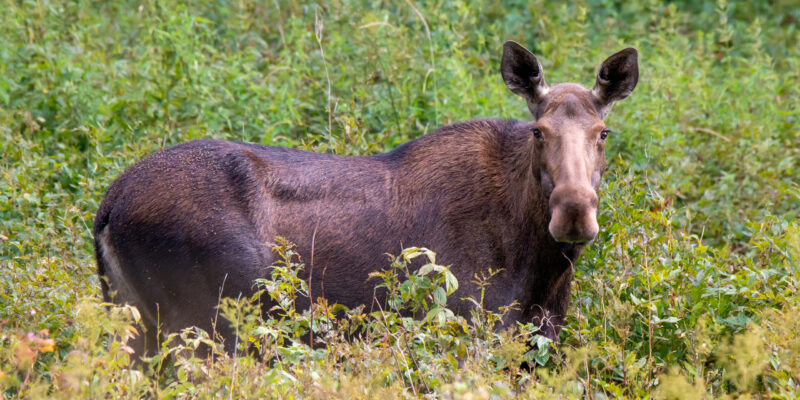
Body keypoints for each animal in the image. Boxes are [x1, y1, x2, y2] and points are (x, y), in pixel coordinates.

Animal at [94, 41, 639, 356]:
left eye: (603, 132)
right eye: (538, 131)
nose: (574, 213)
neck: (542, 268)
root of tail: (108, 206)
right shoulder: (469, 329)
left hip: (136, 321)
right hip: (202, 324)